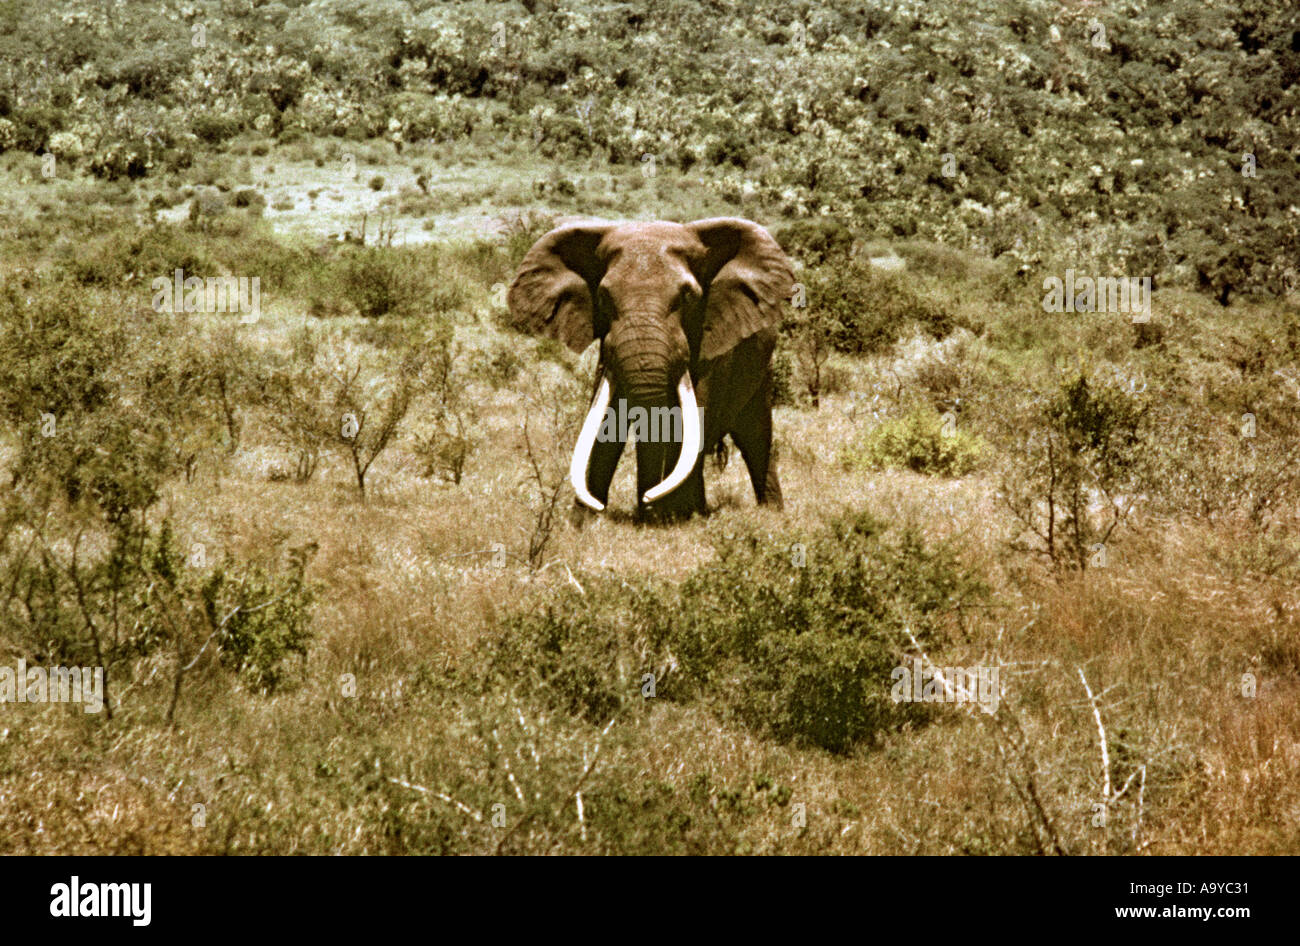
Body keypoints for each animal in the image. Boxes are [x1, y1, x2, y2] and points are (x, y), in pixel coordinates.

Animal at [507, 217, 794, 520]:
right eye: (603, 298)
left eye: (688, 297)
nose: (646, 501)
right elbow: (606, 420)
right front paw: (582, 521)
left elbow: (692, 422)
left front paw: (678, 517)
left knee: (756, 435)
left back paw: (767, 513)